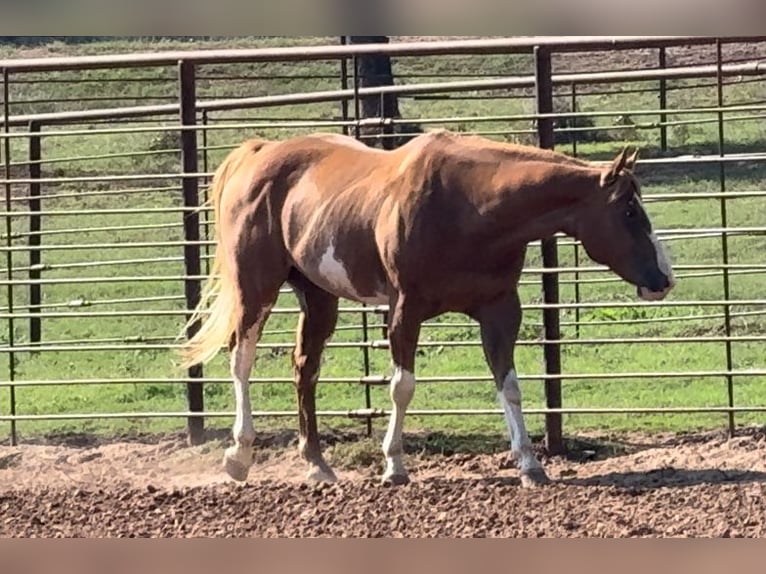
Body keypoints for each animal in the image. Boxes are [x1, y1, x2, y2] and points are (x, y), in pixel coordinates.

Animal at [177, 132, 676, 490]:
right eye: (629, 211)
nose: (664, 279)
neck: (471, 207)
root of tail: (258, 153)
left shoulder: (500, 312)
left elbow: (510, 388)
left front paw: (531, 466)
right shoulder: (405, 311)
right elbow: (402, 387)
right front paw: (394, 465)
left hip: (318, 297)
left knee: (305, 369)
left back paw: (317, 465)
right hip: (255, 288)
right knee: (242, 360)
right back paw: (239, 456)